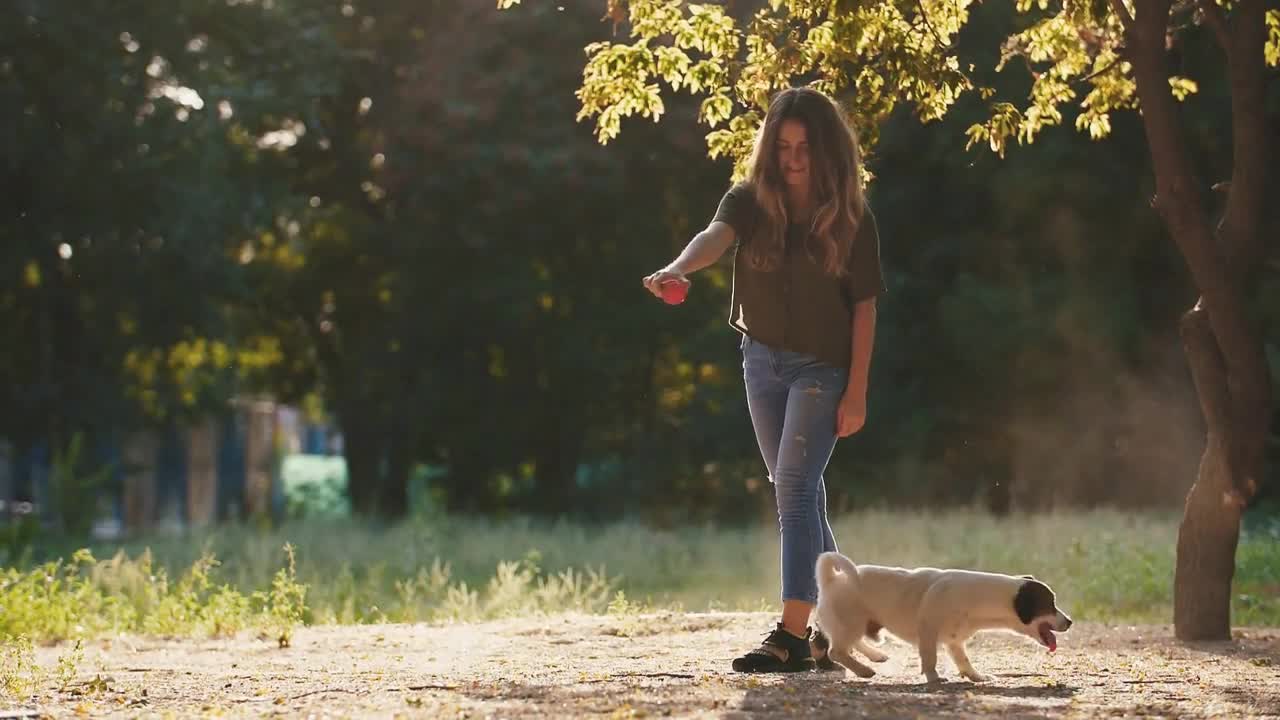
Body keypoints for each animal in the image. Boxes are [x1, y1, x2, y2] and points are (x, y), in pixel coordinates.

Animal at [814, 545, 1075, 681]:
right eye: (1050, 604)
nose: (1070, 622)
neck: (982, 596)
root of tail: (831, 580)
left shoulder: (954, 640)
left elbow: (963, 659)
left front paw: (975, 676)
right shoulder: (928, 630)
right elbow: (930, 658)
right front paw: (933, 678)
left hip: (855, 625)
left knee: (849, 645)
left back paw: (875, 655)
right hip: (852, 622)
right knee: (836, 651)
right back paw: (864, 670)